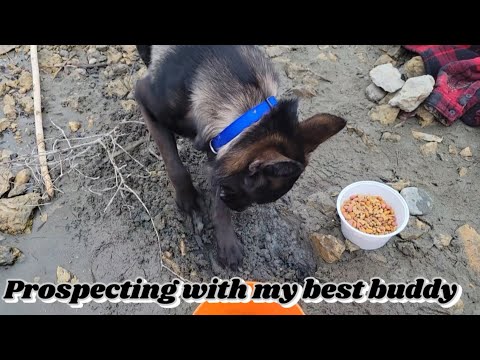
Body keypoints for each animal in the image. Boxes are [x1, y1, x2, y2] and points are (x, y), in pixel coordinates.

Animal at [133, 45, 346, 268]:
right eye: (249, 196)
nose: (240, 210)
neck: (247, 110)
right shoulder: (144, 97)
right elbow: (175, 165)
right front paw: (188, 199)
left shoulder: (217, 148)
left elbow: (217, 188)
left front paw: (226, 240)